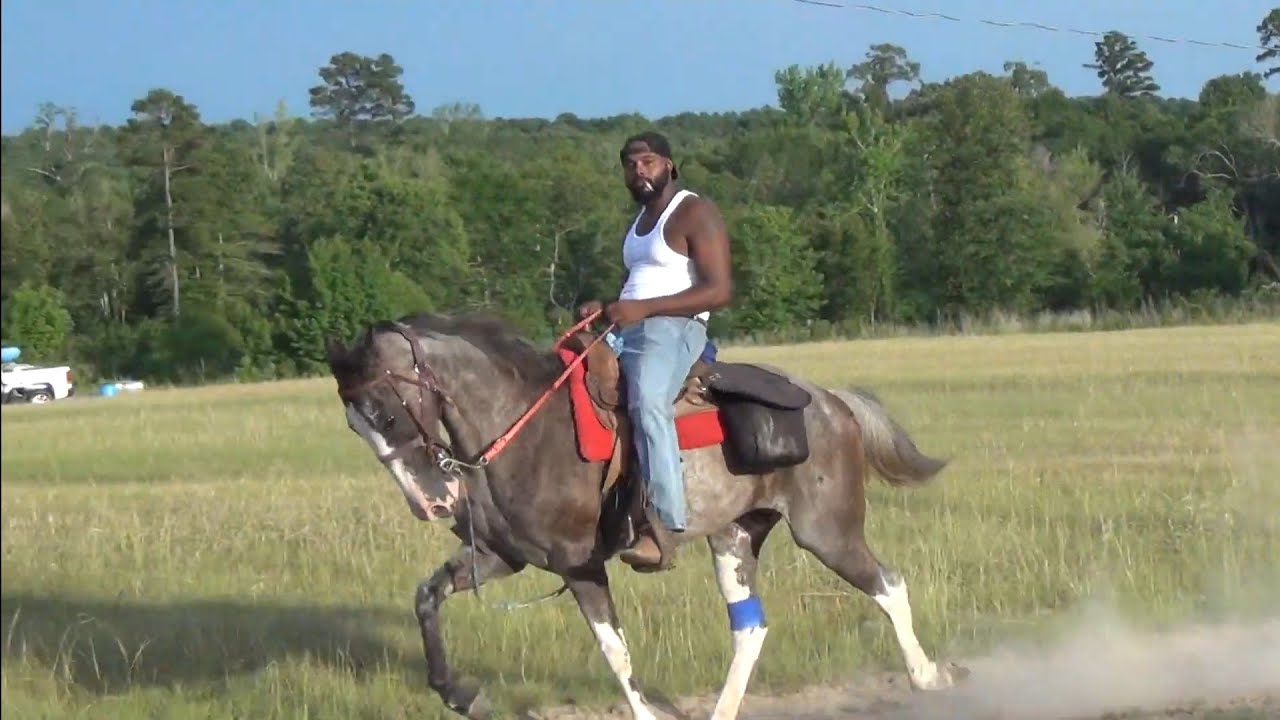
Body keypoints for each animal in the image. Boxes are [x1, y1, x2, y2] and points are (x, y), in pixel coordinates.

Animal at [323, 309, 964, 720]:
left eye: (384, 412)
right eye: (352, 425)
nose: (430, 503)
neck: (524, 425)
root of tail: (832, 401)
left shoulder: (578, 564)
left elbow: (614, 649)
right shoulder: (500, 556)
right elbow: (427, 596)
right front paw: (457, 693)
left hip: (827, 531)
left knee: (888, 586)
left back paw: (926, 677)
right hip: (734, 538)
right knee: (750, 627)